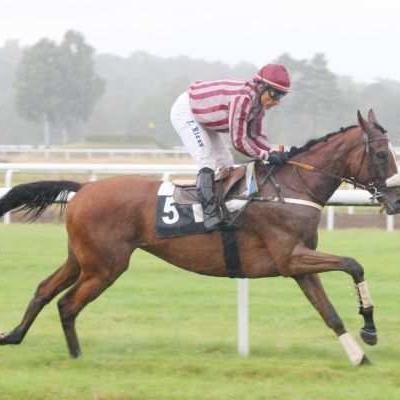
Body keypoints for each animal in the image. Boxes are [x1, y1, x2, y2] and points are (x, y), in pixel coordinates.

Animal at [0, 109, 400, 366]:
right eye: (382, 153)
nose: (396, 200)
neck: (289, 189)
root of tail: (84, 188)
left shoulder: (298, 264)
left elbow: (328, 312)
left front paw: (359, 355)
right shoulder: (290, 257)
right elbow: (353, 264)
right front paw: (369, 329)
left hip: (81, 258)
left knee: (44, 290)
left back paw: (14, 336)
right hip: (105, 266)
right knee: (67, 304)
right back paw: (76, 357)